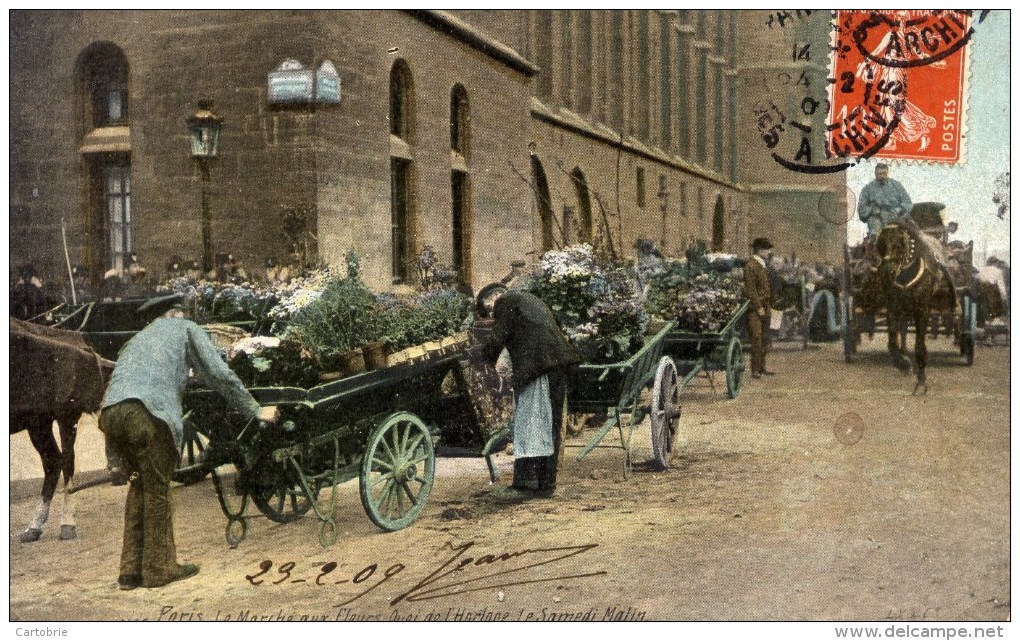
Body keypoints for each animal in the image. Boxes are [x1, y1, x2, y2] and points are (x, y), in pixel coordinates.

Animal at [10, 318, 110, 543]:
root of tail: (80, 341)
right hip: (38, 422)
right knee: (53, 462)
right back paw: (34, 527)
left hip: (66, 415)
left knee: (67, 461)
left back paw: (67, 523)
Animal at [873, 222, 942, 393]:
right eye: (882, 245)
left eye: (899, 245)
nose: (886, 271)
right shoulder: (893, 308)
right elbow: (892, 343)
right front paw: (903, 364)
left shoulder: (922, 311)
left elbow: (920, 345)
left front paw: (921, 379)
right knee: (903, 332)